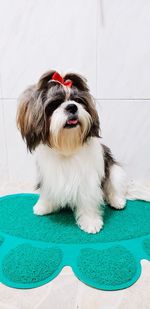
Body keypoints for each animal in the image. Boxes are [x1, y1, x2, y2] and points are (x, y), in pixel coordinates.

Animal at [16, 70, 126, 233]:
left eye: (78, 100)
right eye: (54, 104)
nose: (72, 107)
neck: (67, 147)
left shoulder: (88, 179)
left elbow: (88, 199)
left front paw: (90, 221)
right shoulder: (48, 175)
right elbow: (47, 191)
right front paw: (44, 206)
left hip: (114, 170)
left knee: (113, 186)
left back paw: (117, 200)